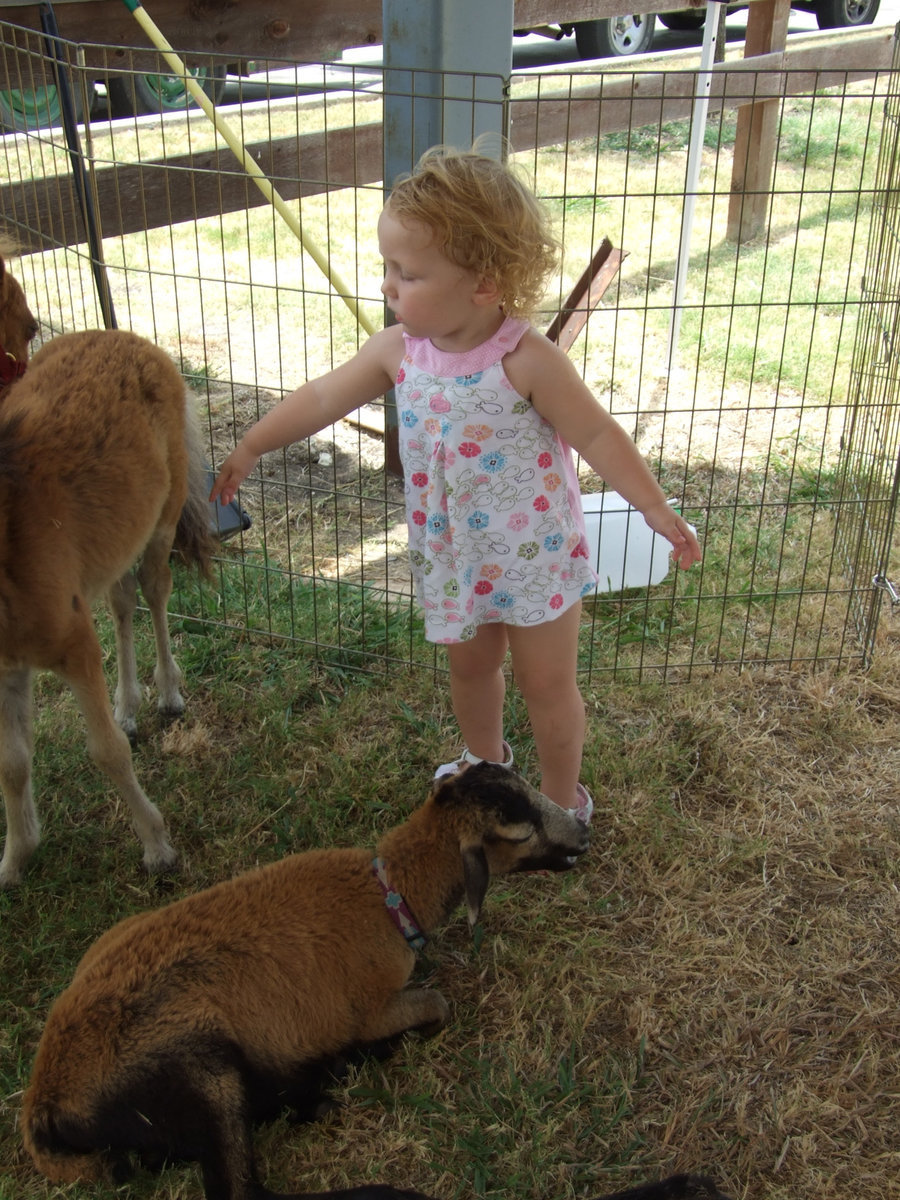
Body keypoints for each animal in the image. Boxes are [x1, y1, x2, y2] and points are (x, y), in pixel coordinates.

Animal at [21, 763, 592, 1195]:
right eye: (519, 831)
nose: (582, 832)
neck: (389, 894)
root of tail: (44, 1104)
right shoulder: (370, 1008)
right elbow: (436, 1007)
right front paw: (364, 1051)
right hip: (199, 1072)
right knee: (239, 1188)